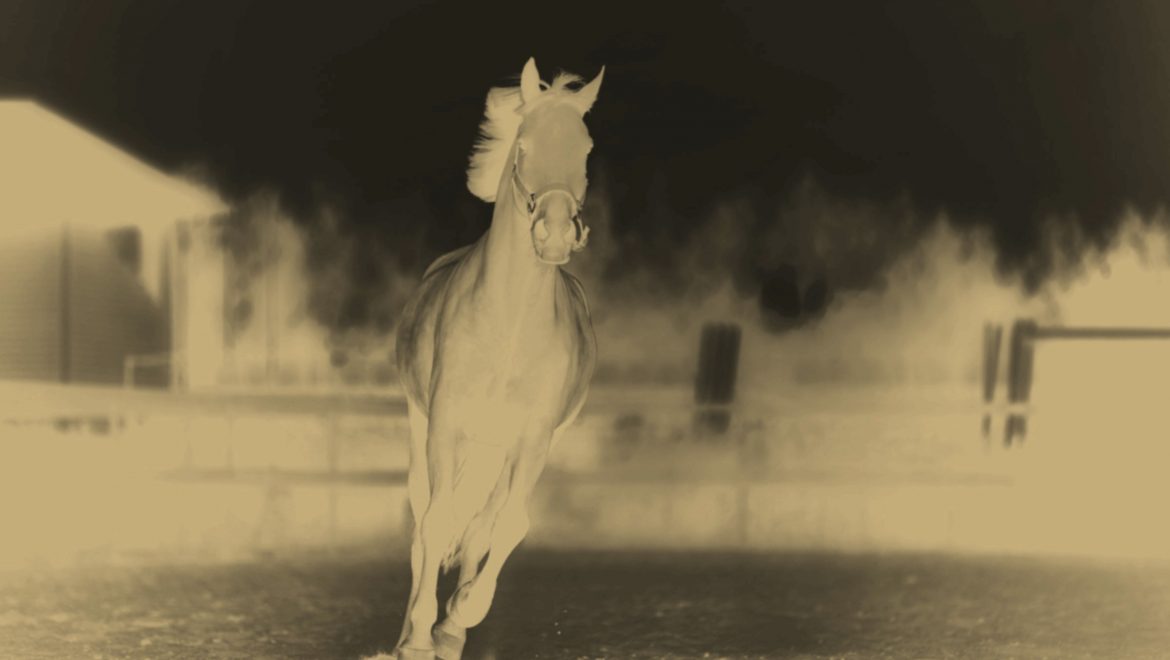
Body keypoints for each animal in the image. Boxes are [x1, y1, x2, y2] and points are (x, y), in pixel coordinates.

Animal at [377, 58, 602, 660]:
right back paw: (410, 630)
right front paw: (420, 635)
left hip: (498, 449)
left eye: (586, 147)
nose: (555, 232)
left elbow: (503, 528)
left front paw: (458, 618)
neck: (511, 324)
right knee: (423, 519)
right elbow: (436, 522)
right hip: (421, 425)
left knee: (482, 524)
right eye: (523, 145)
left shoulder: (533, 438)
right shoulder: (445, 424)